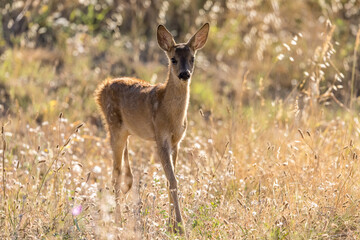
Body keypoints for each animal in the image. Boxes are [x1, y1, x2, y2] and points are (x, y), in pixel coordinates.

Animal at [94, 23, 210, 234]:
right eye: (173, 59)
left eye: (192, 58)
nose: (184, 74)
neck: (169, 114)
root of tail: (100, 89)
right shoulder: (160, 137)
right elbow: (172, 180)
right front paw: (179, 226)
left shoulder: (176, 141)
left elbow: (169, 179)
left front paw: (171, 225)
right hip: (113, 126)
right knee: (116, 174)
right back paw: (117, 221)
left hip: (126, 132)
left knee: (126, 174)